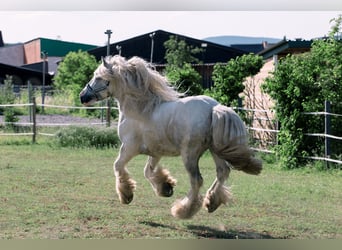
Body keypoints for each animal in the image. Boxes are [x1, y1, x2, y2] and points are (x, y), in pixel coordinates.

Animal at [80, 55, 262, 219]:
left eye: (98, 77)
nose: (82, 97)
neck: (140, 109)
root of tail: (214, 108)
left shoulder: (129, 148)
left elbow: (118, 166)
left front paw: (126, 196)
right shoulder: (155, 152)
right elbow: (148, 171)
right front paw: (166, 188)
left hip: (190, 154)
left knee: (197, 180)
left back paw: (183, 211)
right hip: (215, 149)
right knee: (222, 172)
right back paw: (211, 203)